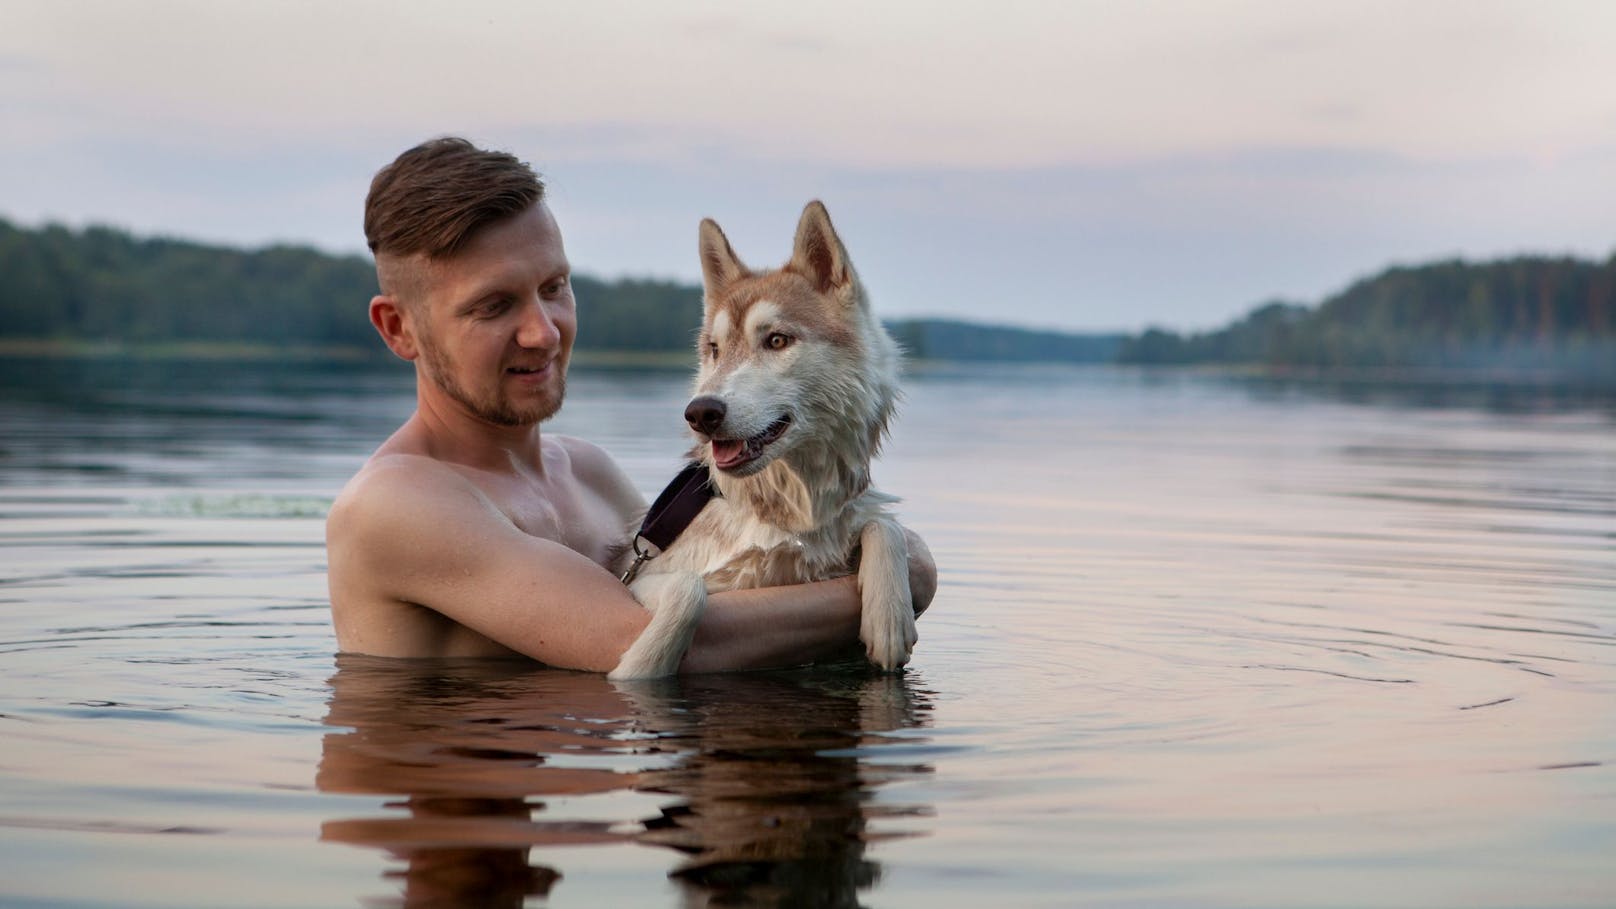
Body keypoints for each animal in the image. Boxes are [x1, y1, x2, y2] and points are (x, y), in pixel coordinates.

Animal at [607, 199, 917, 679]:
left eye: (776, 340)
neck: (785, 515)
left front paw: (889, 617)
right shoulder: (638, 581)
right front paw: (641, 665)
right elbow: (688, 591)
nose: (700, 413)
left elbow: (884, 524)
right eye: (714, 349)